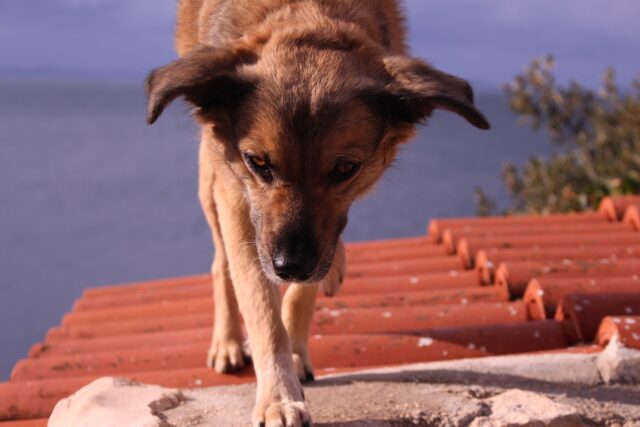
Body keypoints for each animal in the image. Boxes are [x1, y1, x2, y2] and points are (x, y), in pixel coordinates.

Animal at [144, 1, 484, 426]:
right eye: (258, 162)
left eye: (344, 169)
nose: (290, 266)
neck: (306, 16)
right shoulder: (239, 199)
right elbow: (261, 306)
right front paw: (278, 396)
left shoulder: (323, 228)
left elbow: (305, 288)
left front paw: (295, 346)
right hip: (212, 179)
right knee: (221, 263)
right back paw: (227, 341)